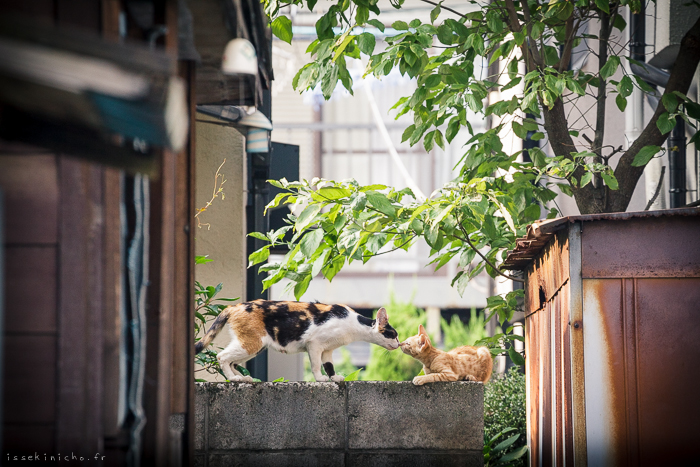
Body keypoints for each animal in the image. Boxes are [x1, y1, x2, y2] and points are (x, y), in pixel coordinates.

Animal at [194, 302, 400, 382]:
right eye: (394, 334)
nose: (399, 344)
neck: (353, 324)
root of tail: (233, 306)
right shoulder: (315, 344)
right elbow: (316, 365)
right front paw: (320, 379)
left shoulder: (328, 349)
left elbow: (329, 365)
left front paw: (334, 378)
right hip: (252, 343)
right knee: (222, 356)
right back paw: (233, 378)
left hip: (253, 346)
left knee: (232, 361)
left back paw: (243, 378)